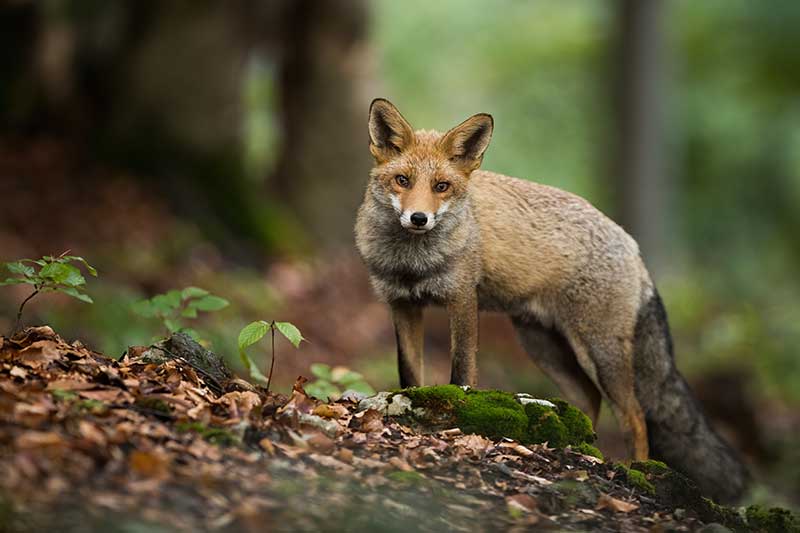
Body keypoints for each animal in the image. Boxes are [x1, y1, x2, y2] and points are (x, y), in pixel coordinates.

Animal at [356, 97, 752, 500]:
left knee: (635, 416)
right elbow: (409, 375)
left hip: (599, 352)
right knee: (588, 399)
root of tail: (633, 246)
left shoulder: (462, 300)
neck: (413, 264)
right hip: (545, 347)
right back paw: (580, 446)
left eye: (442, 186)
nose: (418, 218)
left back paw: (636, 469)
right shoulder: (402, 305)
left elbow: (461, 373)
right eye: (402, 180)